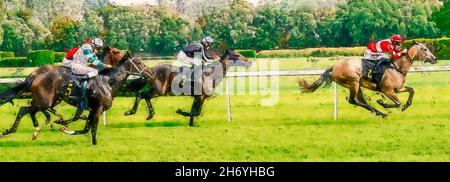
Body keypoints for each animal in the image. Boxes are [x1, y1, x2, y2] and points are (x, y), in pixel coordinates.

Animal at [0, 47, 152, 145]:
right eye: (139, 62)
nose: (151, 73)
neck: (107, 81)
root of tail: (35, 75)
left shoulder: (92, 109)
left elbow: (85, 127)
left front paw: (64, 127)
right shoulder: (97, 108)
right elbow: (91, 128)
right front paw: (94, 143)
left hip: (48, 100)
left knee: (32, 109)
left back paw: (38, 129)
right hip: (44, 101)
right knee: (24, 110)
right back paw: (11, 130)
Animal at [298, 41, 436, 117]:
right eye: (424, 49)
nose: (435, 59)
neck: (397, 67)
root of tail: (334, 67)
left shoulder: (397, 89)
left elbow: (411, 90)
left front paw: (406, 105)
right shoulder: (387, 90)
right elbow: (397, 103)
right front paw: (382, 103)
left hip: (356, 84)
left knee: (361, 100)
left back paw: (379, 113)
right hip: (353, 82)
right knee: (353, 100)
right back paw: (380, 113)